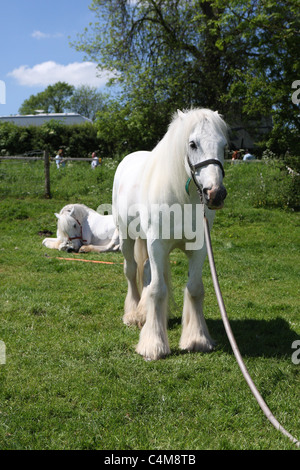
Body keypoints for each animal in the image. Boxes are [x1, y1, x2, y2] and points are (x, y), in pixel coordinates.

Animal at [112, 108, 227, 362]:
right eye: (192, 144)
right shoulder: (157, 245)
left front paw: (197, 339)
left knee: (146, 271)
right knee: (131, 271)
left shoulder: (199, 248)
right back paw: (133, 314)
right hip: (127, 237)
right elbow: (157, 289)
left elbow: (194, 288)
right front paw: (153, 344)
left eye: (224, 145)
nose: (215, 194)